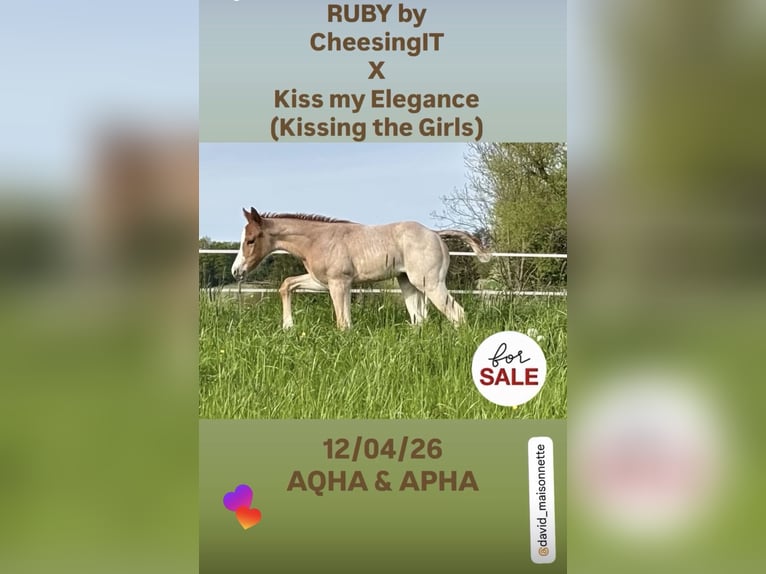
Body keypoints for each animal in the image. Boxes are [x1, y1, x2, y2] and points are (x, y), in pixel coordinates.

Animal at [231, 207, 491, 329]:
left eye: (251, 240)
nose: (236, 271)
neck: (318, 240)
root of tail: (435, 233)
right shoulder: (322, 281)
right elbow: (286, 285)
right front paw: (288, 326)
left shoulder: (339, 283)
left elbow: (343, 323)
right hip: (407, 283)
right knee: (419, 319)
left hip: (431, 283)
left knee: (457, 314)